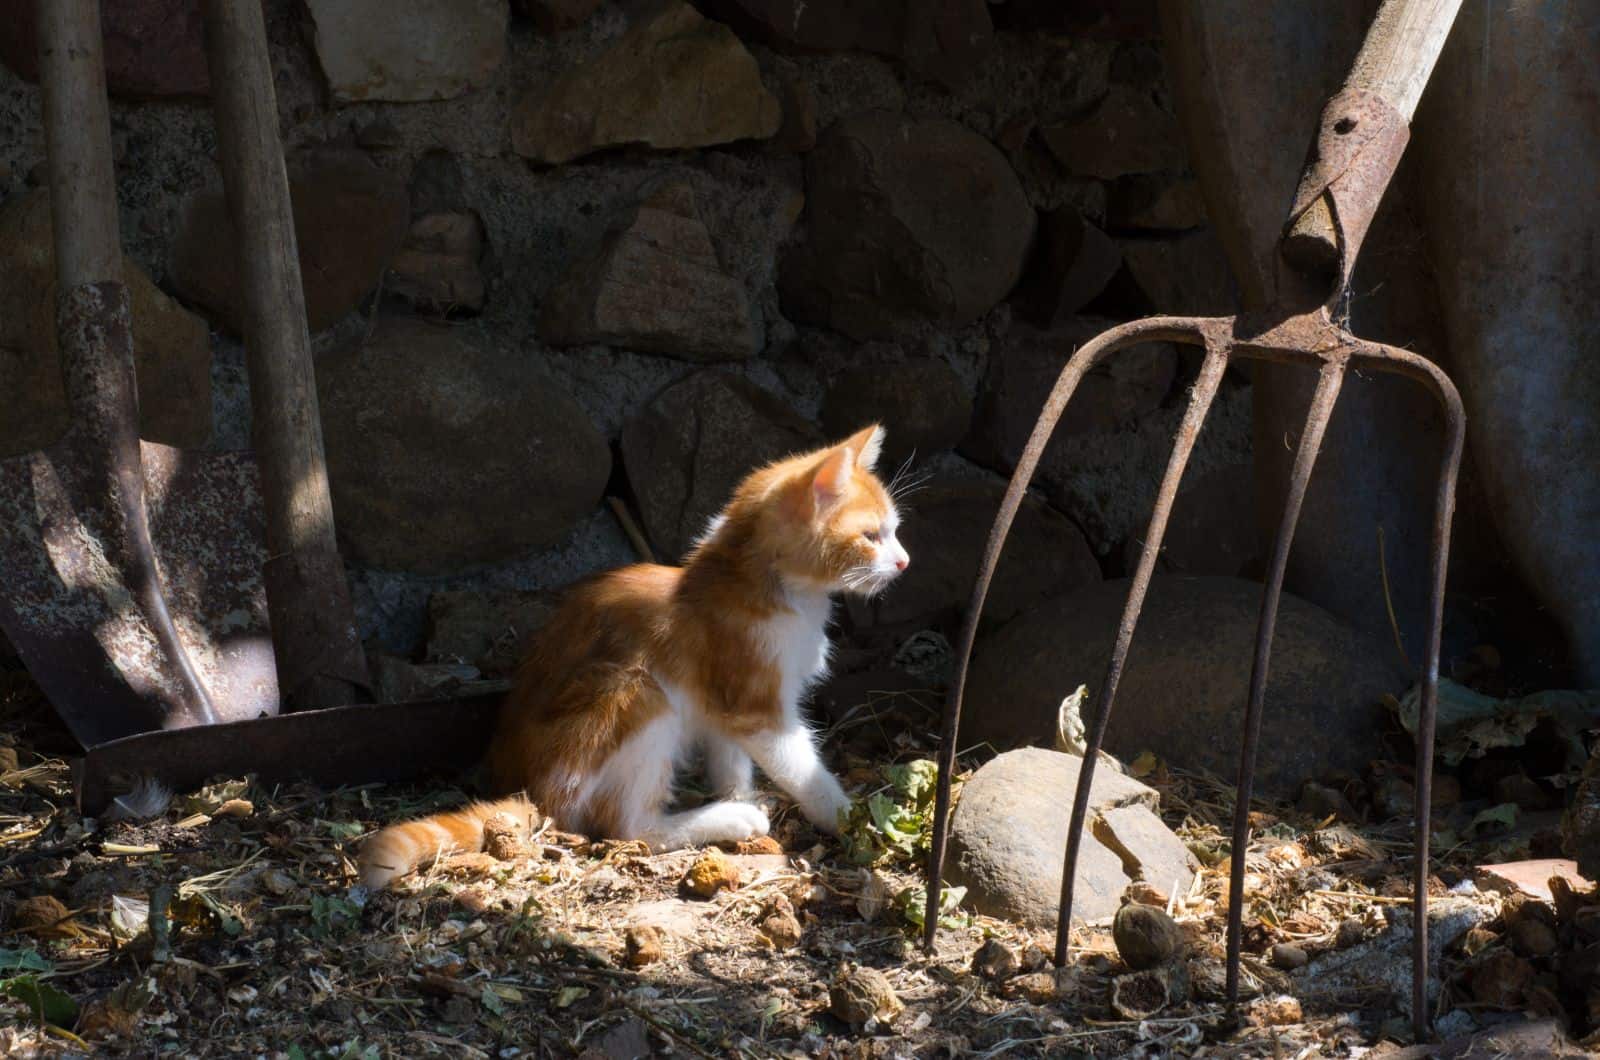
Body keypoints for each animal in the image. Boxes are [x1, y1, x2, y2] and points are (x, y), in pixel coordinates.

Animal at [364, 422, 915, 890]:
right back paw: (724, 820)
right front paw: (847, 817)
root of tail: (532, 793)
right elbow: (800, 765)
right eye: (871, 536)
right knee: (627, 827)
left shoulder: (721, 699)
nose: (905, 561)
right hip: (637, 692)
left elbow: (729, 756)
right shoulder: (755, 702)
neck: (765, 588)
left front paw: (738, 790)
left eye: (894, 530)